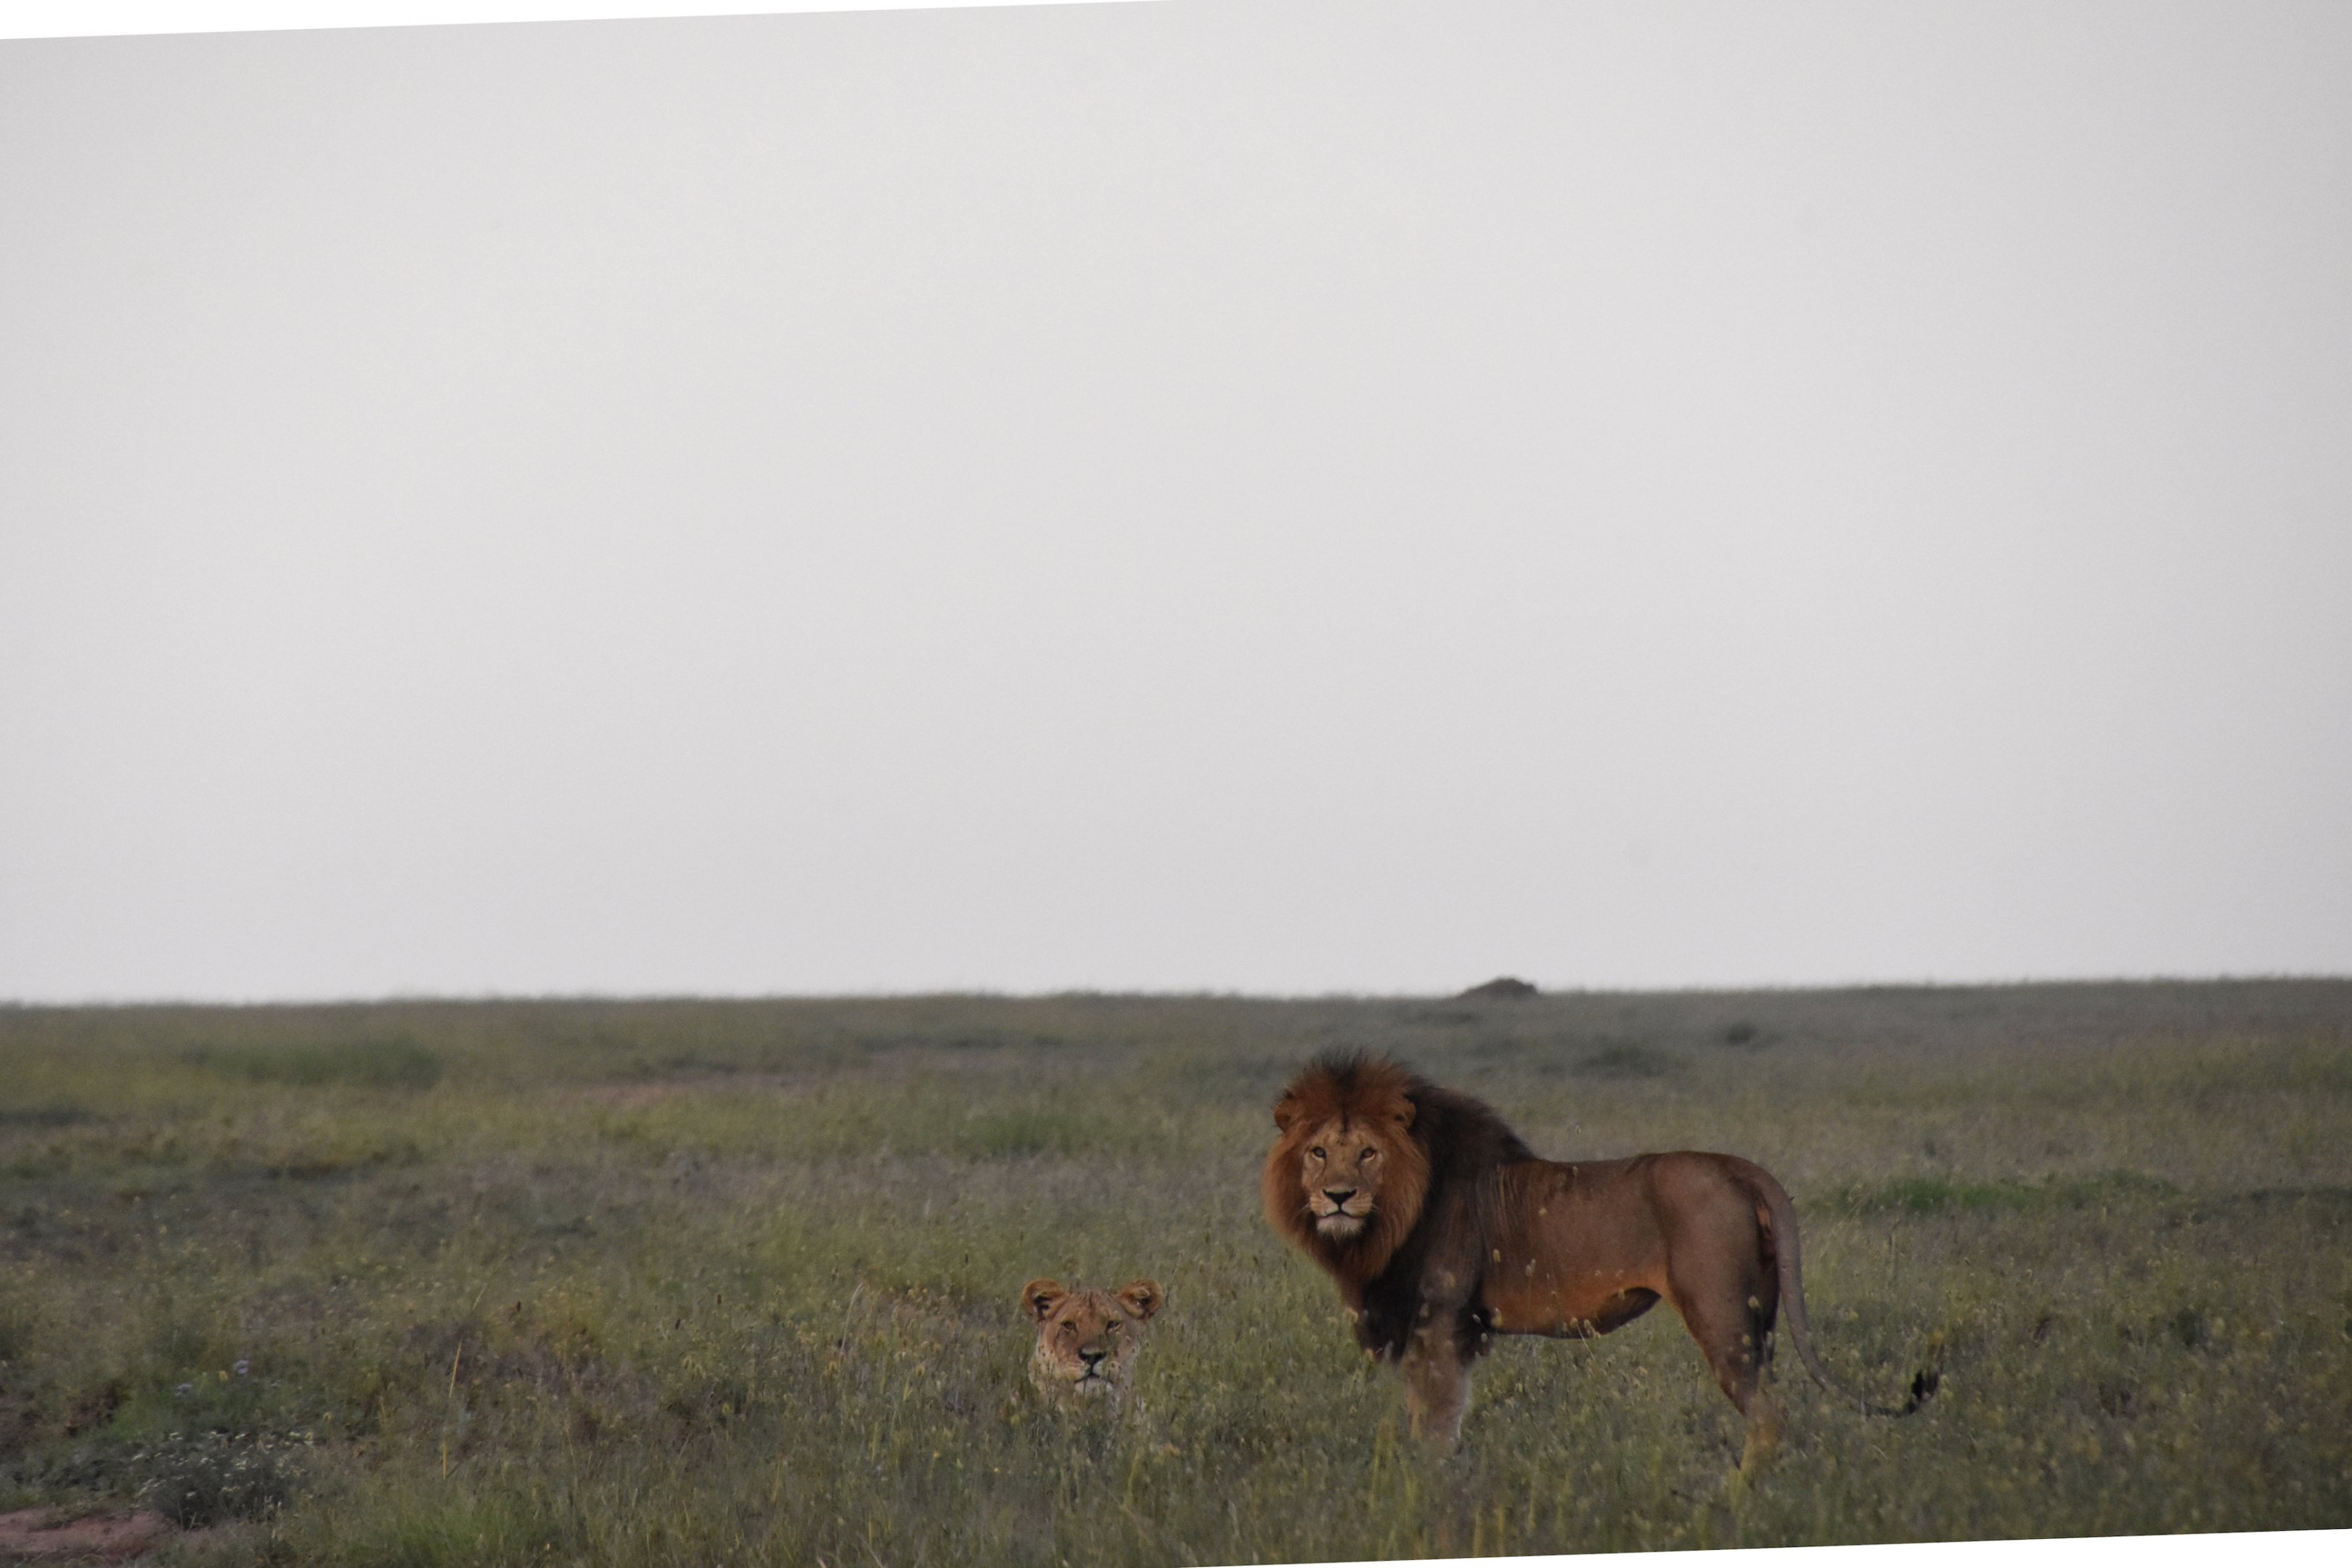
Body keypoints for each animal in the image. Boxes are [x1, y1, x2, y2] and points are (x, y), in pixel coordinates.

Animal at [1263, 1053, 1935, 1467]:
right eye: (1318, 1152)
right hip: (1760, 1314)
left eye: (1368, 1153)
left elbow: (1435, 1428)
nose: (1338, 1196)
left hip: (1721, 1314)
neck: (1388, 1218)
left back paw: (1734, 1503)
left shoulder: (1442, 1322)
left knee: (1770, 1415)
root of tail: (1740, 1167)